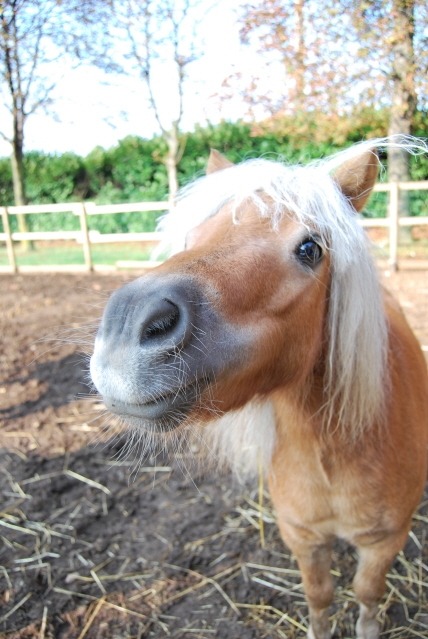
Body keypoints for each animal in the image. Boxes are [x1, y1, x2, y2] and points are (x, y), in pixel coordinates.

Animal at [89, 141, 428, 639]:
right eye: (192, 237)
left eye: (310, 248)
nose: (128, 323)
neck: (334, 453)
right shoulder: (303, 538)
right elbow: (319, 597)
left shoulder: (383, 543)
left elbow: (367, 597)